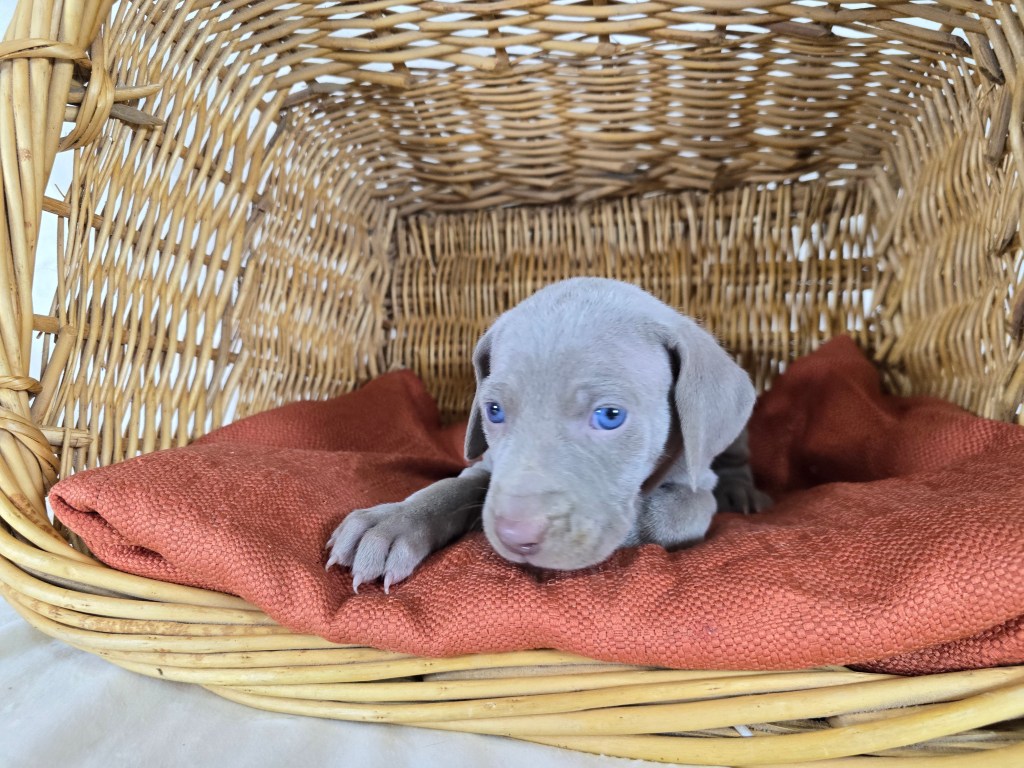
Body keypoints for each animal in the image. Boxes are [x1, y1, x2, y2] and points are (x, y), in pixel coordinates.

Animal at [327, 277, 769, 591]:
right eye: (493, 410)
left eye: (610, 416)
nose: (515, 536)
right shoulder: (492, 464)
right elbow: (453, 487)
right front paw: (393, 522)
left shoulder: (694, 489)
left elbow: (667, 516)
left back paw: (742, 491)